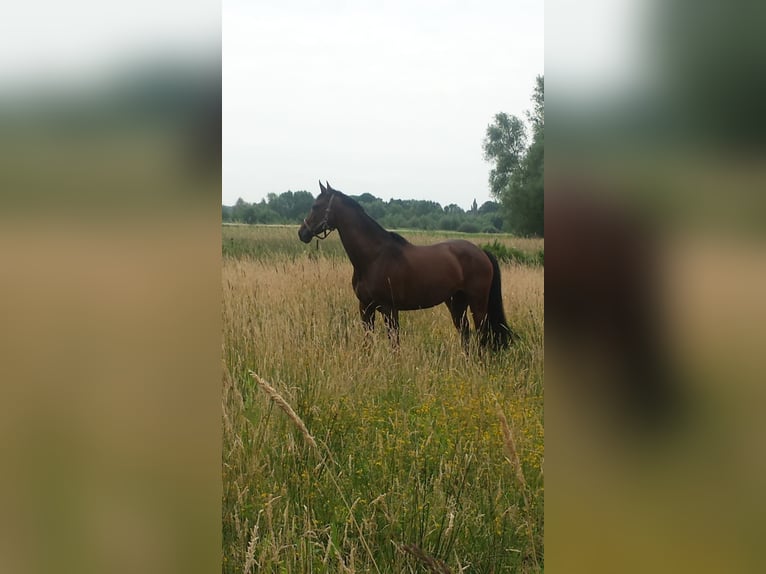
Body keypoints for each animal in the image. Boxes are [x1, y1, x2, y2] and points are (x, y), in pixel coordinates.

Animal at [298, 181, 513, 349]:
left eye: (315, 206)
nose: (302, 233)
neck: (374, 257)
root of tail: (481, 252)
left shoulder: (389, 309)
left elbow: (394, 344)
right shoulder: (365, 308)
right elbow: (368, 342)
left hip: (478, 302)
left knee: (483, 333)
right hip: (456, 302)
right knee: (465, 333)